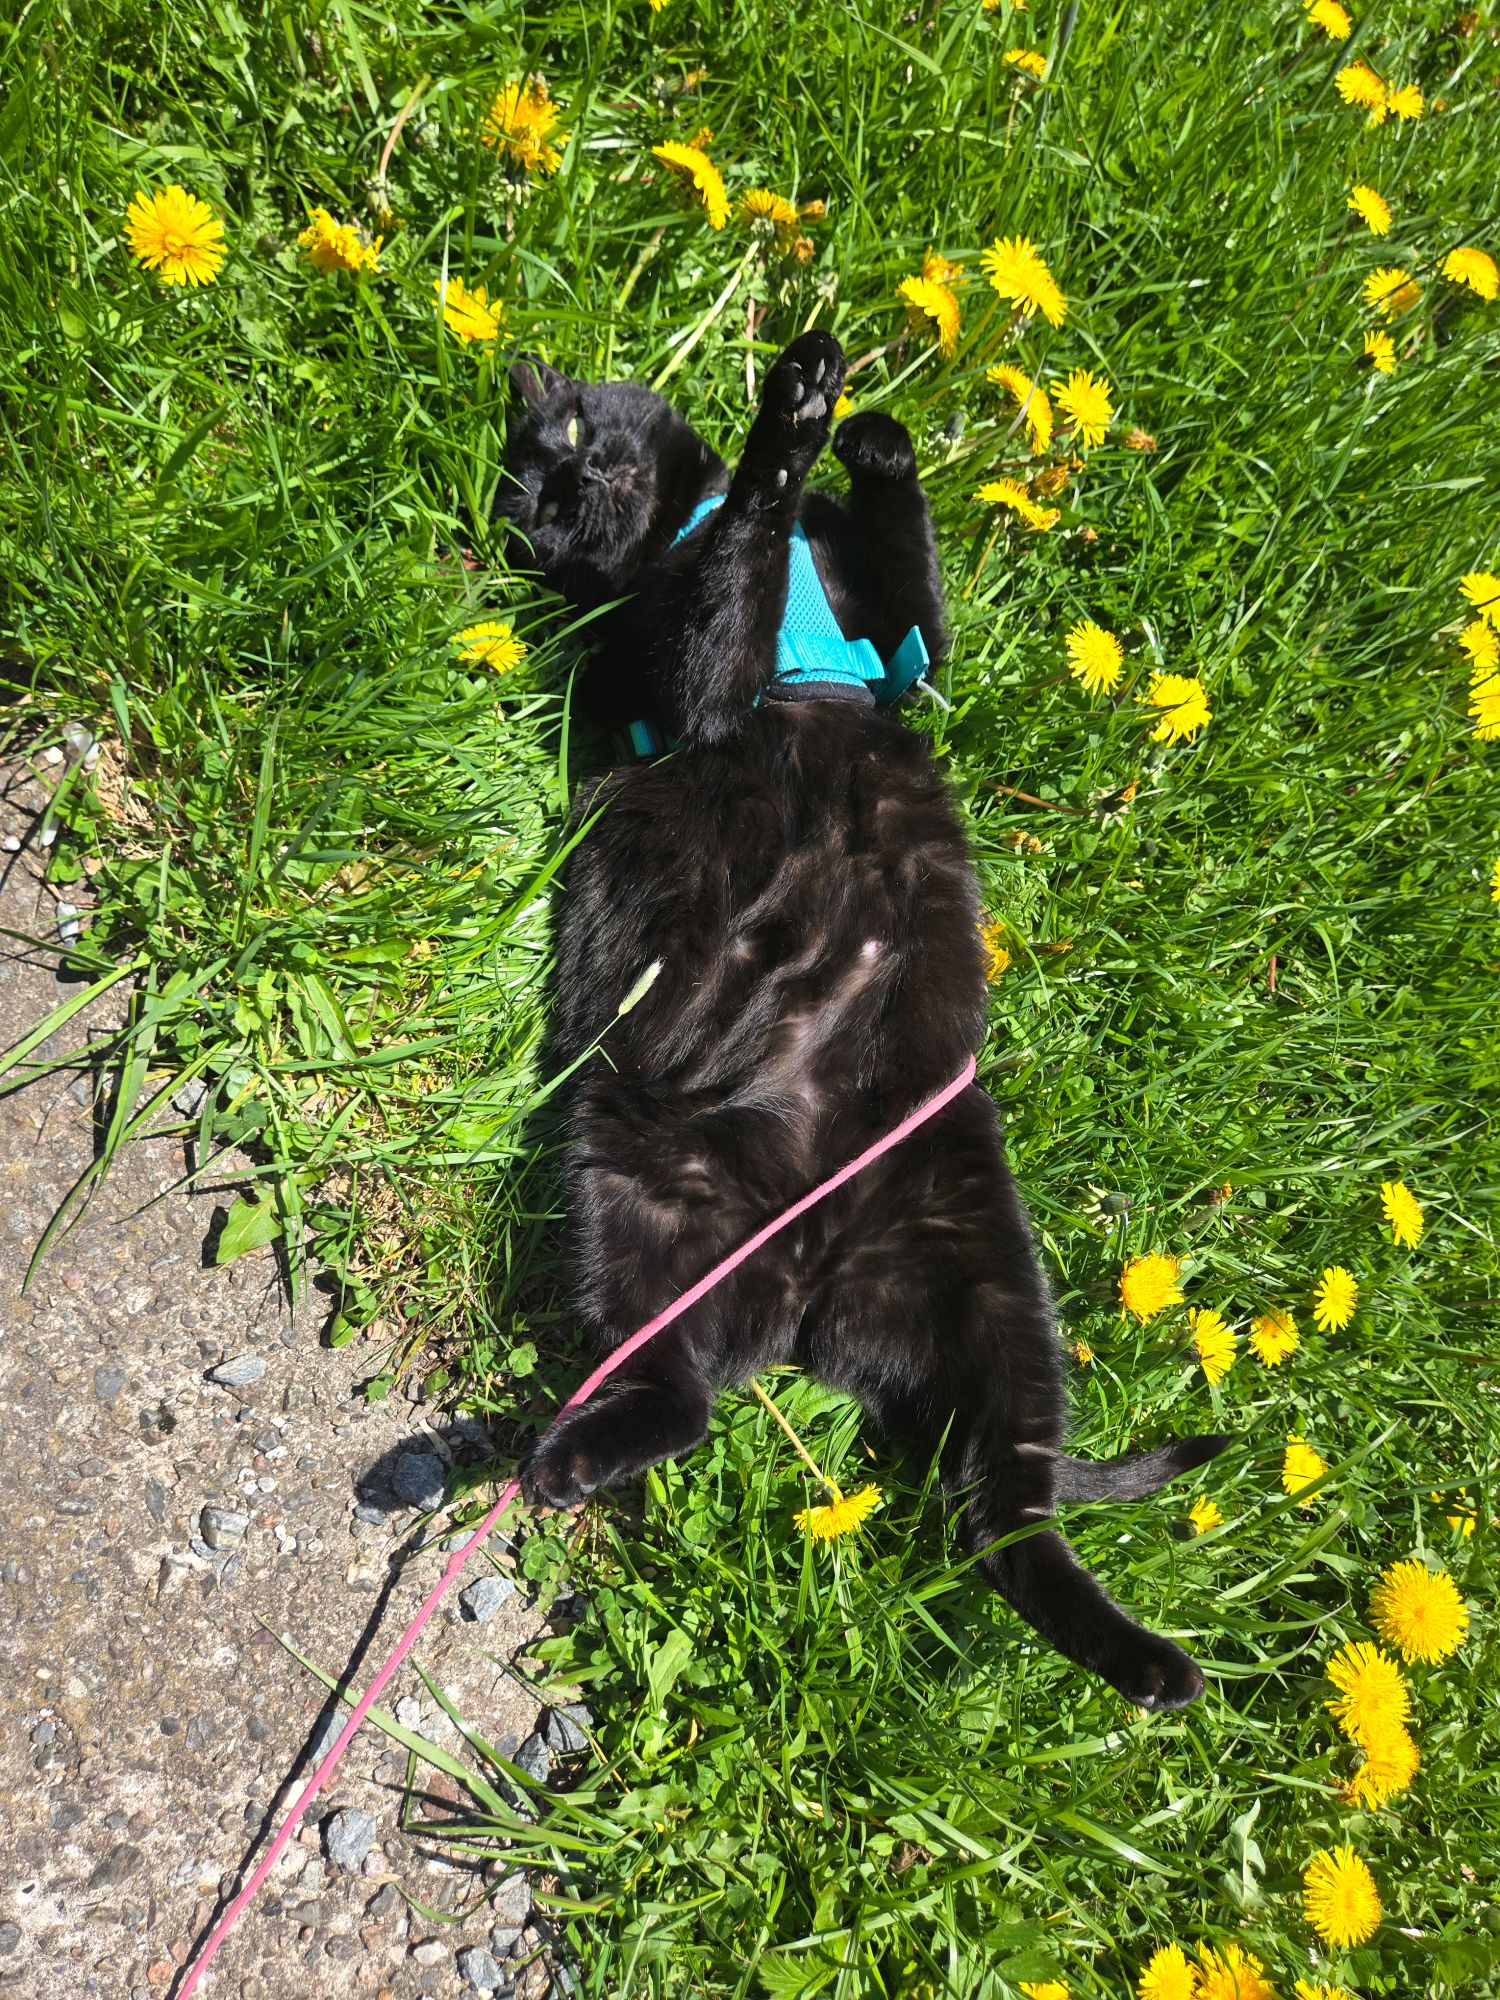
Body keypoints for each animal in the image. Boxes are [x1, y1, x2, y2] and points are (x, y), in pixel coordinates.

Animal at [498, 331, 1228, 1709]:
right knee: (695, 1398)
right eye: (536, 506)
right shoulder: (686, 678)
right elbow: (736, 577)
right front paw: (787, 424)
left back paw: (1143, 1655)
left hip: (986, 1271)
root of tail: (807, 1282)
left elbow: (916, 589)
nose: (569, 493)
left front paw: (872, 436)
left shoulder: (900, 656)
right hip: (634, 1185)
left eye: (566, 438)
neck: (678, 520)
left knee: (1001, 1504)